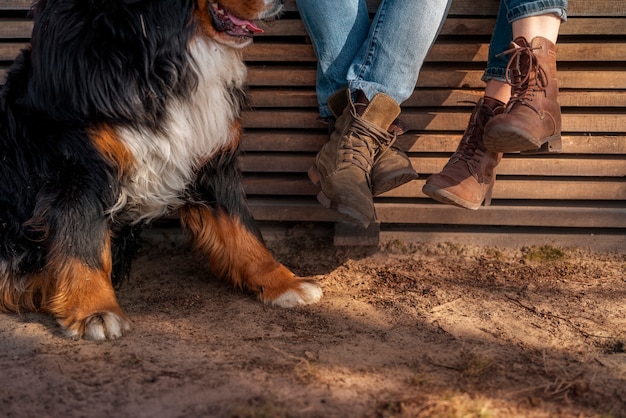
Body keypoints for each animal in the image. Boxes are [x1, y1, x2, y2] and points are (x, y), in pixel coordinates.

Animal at [0, 0, 322, 340]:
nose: (289, 3)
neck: (155, 43)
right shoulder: (78, 166)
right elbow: (81, 238)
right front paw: (94, 309)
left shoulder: (210, 160)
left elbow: (243, 229)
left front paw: (283, 282)